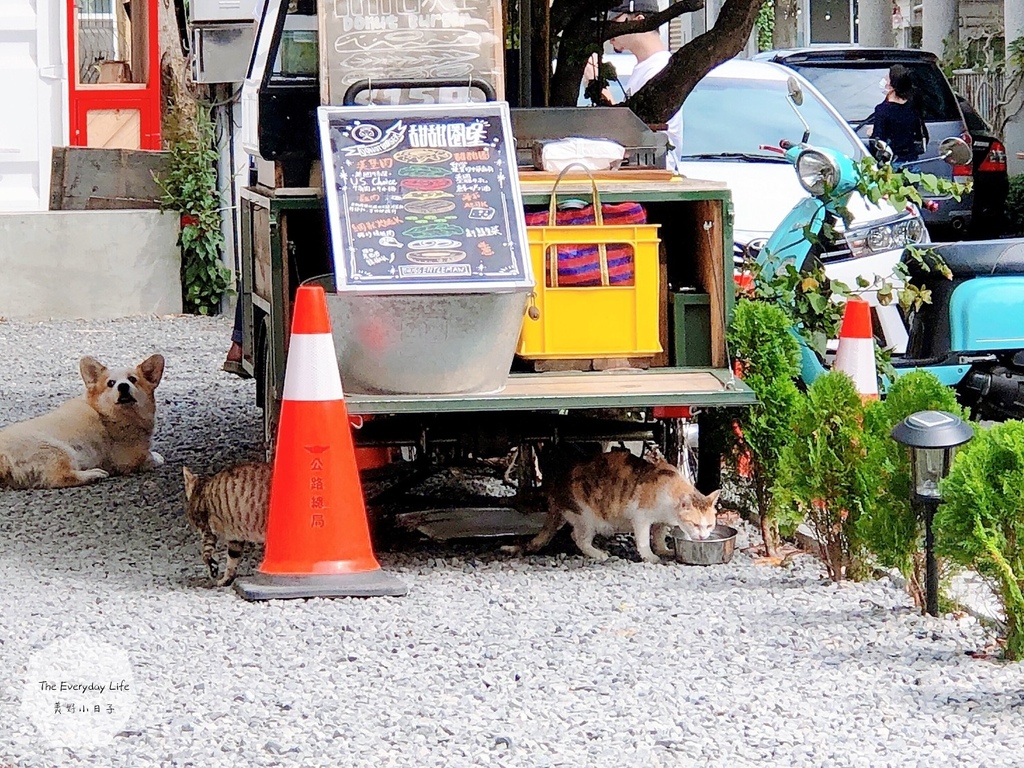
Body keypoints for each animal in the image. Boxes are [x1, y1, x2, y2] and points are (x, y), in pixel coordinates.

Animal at [0, 356, 165, 489]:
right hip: (57, 450)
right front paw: (157, 457)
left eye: (132, 379)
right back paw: (93, 474)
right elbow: (151, 457)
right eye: (111, 383)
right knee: (60, 478)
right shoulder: (130, 458)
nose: (123, 386)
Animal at [528, 450, 720, 565]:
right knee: (578, 537)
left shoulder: (660, 521)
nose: (703, 537)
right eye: (695, 524)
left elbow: (658, 535)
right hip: (587, 516)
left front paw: (663, 549)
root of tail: (555, 489)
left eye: (709, 525)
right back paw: (599, 553)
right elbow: (643, 539)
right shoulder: (641, 517)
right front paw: (650, 556)